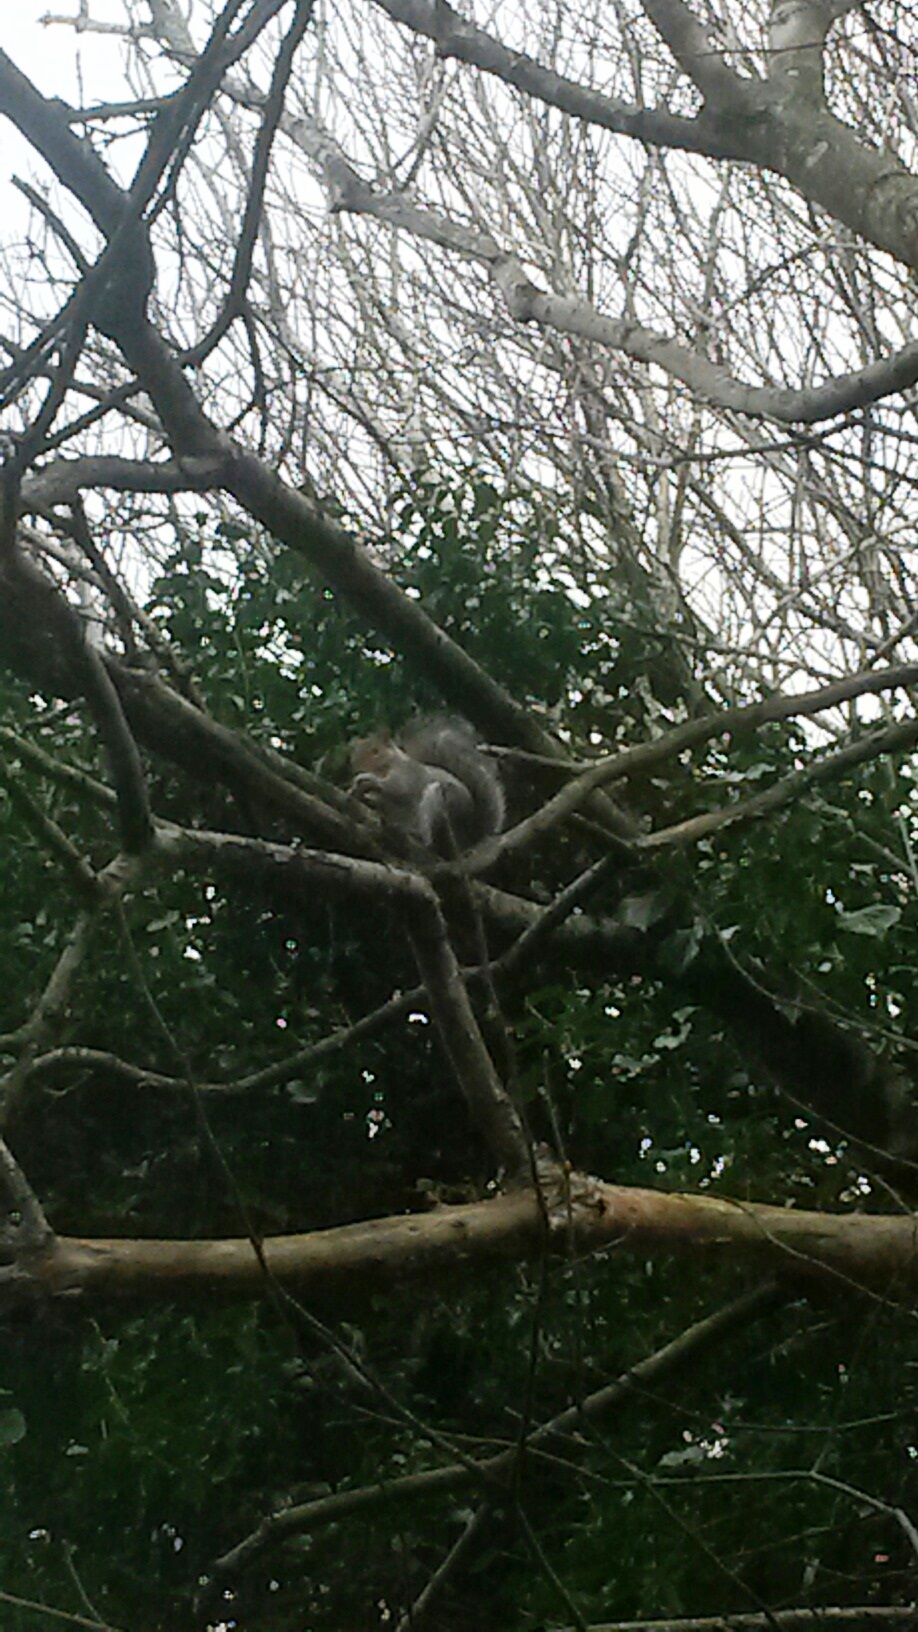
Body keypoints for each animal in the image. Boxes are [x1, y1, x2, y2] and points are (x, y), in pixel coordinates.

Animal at [350, 718, 504, 855]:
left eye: (376, 751)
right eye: (354, 754)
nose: (359, 768)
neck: (387, 766)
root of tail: (469, 841)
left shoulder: (406, 773)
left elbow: (396, 787)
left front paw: (368, 778)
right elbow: (379, 802)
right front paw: (359, 792)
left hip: (438, 801)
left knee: (431, 843)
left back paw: (417, 835)